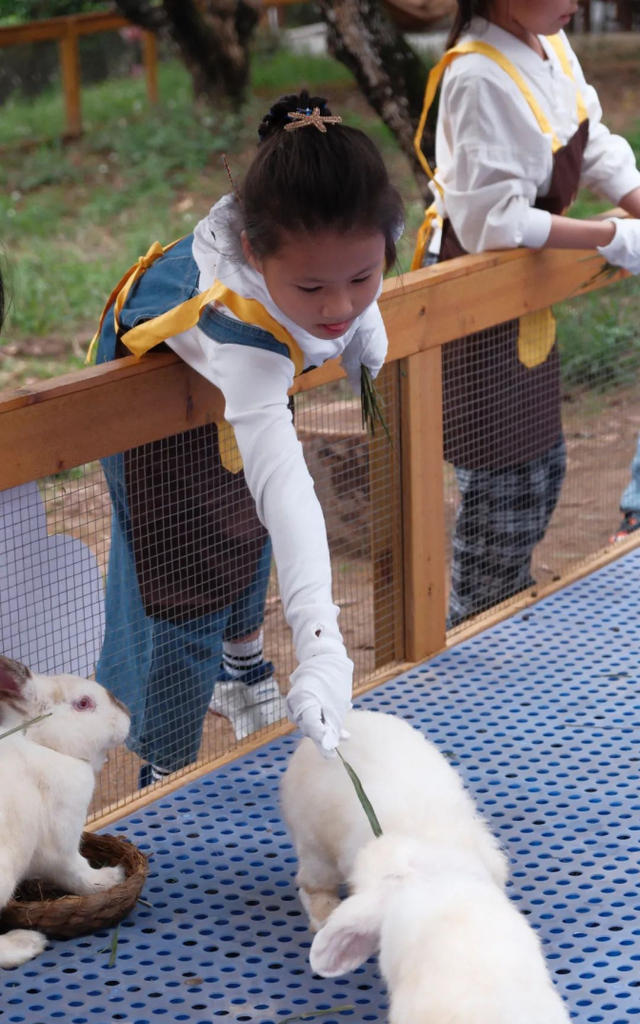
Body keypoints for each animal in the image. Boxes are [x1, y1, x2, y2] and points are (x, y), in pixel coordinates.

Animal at [0, 655, 130, 966]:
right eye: (83, 703)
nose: (127, 714)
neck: (40, 743)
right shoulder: (61, 845)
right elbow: (78, 873)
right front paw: (111, 878)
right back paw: (26, 943)